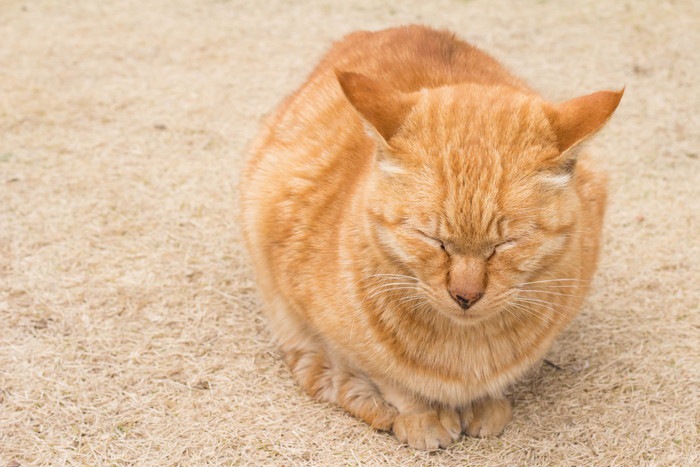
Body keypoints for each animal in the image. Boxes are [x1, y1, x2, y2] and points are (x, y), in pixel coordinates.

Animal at [241, 24, 624, 450]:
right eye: (433, 240)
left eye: (505, 245)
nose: (465, 296)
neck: (465, 350)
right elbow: (392, 381)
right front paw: (422, 417)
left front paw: (485, 403)